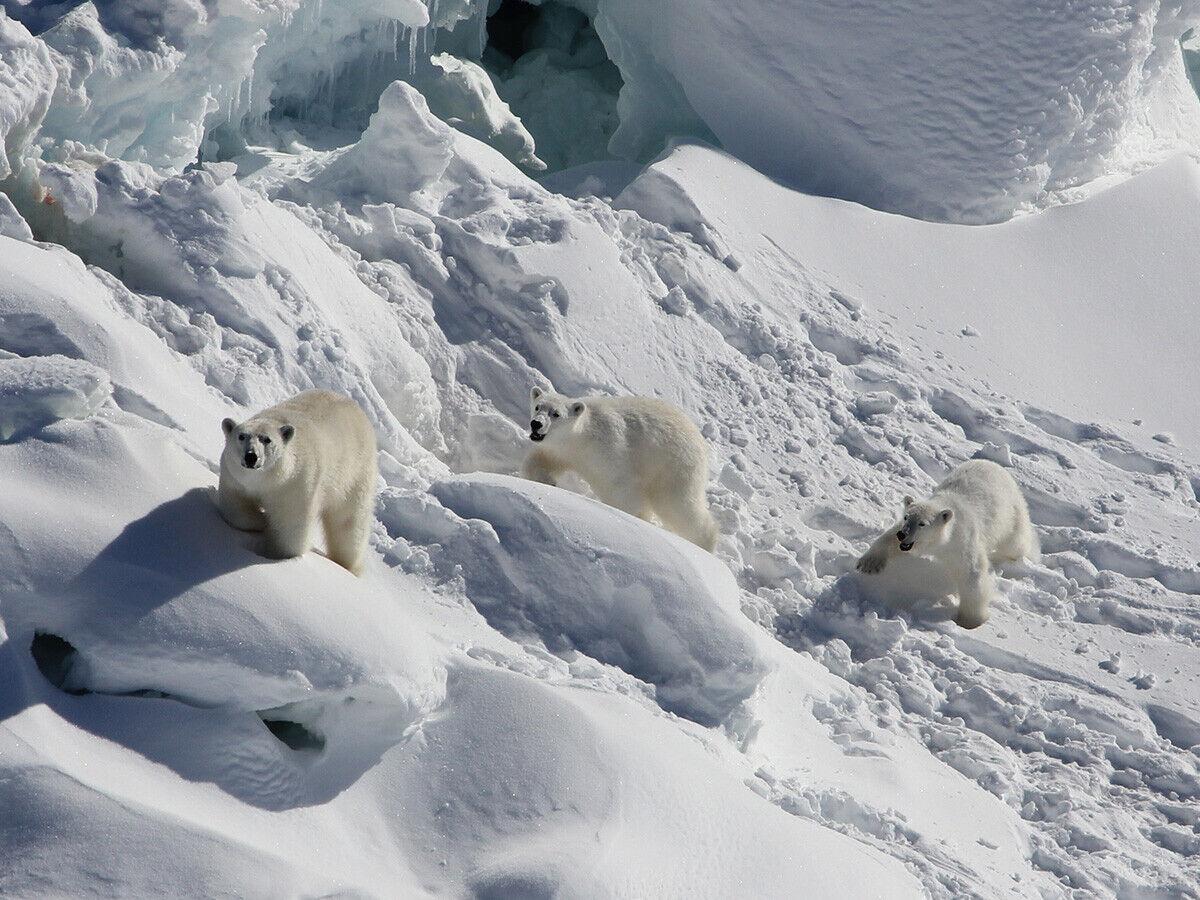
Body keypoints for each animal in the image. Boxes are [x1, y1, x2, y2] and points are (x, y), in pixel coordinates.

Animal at [218, 390, 378, 576]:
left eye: (267, 439)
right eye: (241, 436)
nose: (251, 456)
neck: (266, 481)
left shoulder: (295, 484)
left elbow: (290, 528)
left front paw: (275, 553)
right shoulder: (235, 480)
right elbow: (234, 509)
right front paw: (261, 520)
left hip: (354, 474)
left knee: (349, 523)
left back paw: (348, 565)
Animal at [521, 386, 719, 552]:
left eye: (556, 414)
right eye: (538, 406)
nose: (536, 424)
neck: (582, 437)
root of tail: (700, 442)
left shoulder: (608, 450)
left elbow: (621, 488)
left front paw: (634, 518)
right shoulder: (562, 451)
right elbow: (540, 460)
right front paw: (547, 480)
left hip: (673, 466)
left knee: (678, 505)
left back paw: (705, 544)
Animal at [855, 459, 1038, 628]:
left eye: (922, 523)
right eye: (907, 517)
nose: (902, 534)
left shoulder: (962, 540)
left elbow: (972, 574)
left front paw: (969, 621)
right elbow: (889, 538)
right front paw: (868, 564)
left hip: (1011, 515)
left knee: (1016, 543)